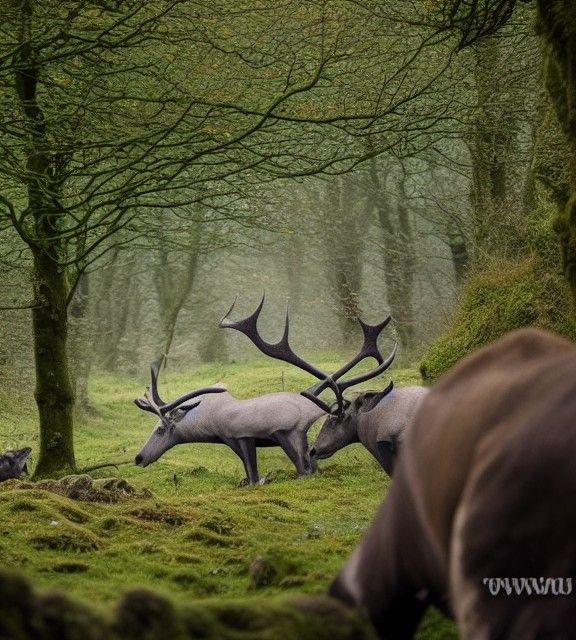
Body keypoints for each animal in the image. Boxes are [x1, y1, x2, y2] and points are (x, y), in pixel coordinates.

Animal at [134, 297, 396, 485]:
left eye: (160, 429)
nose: (138, 457)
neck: (209, 423)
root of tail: (313, 406)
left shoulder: (241, 436)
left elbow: (252, 477)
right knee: (312, 467)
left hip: (289, 434)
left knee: (305, 470)